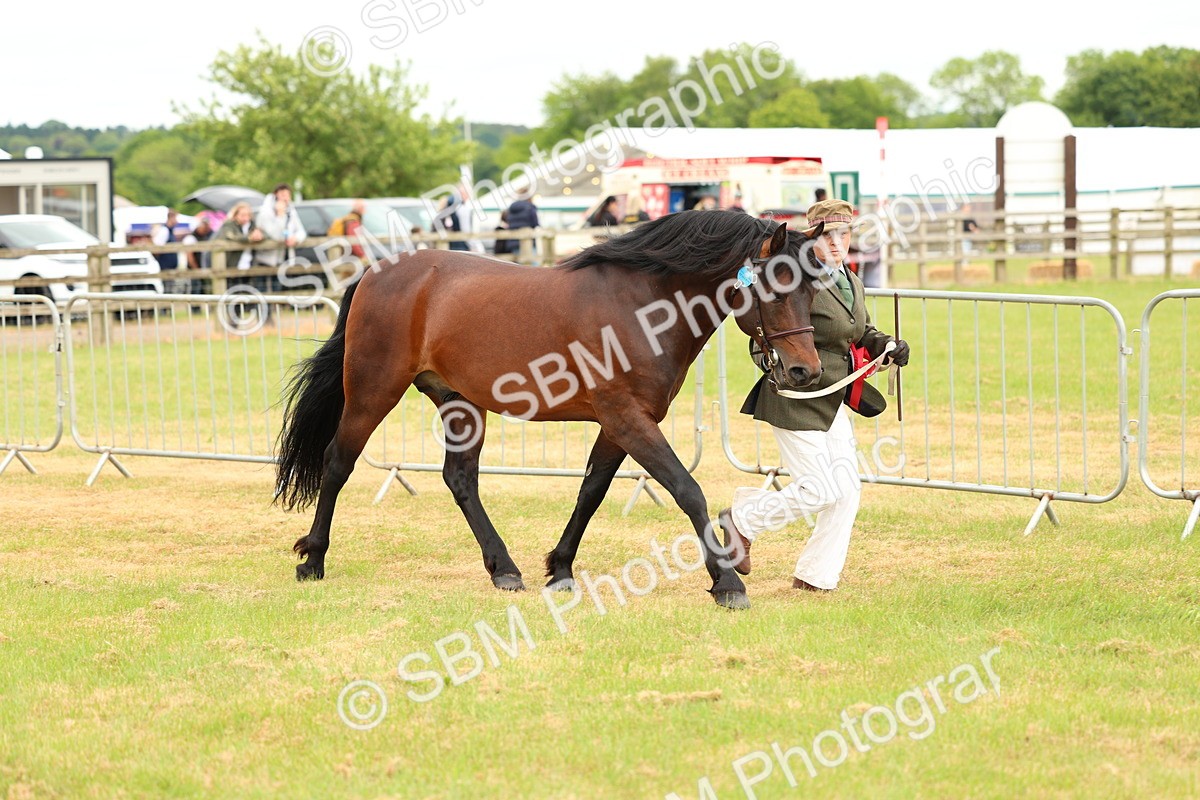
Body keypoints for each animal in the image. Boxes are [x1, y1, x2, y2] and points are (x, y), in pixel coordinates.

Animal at [274, 210, 828, 609]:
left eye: (812, 288)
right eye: (776, 288)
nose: (805, 371)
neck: (640, 305)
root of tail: (374, 271)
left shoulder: (620, 423)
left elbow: (591, 493)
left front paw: (559, 570)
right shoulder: (627, 418)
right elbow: (686, 490)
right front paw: (727, 582)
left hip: (459, 402)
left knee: (460, 478)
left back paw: (504, 568)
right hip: (373, 391)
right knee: (338, 462)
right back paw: (313, 560)